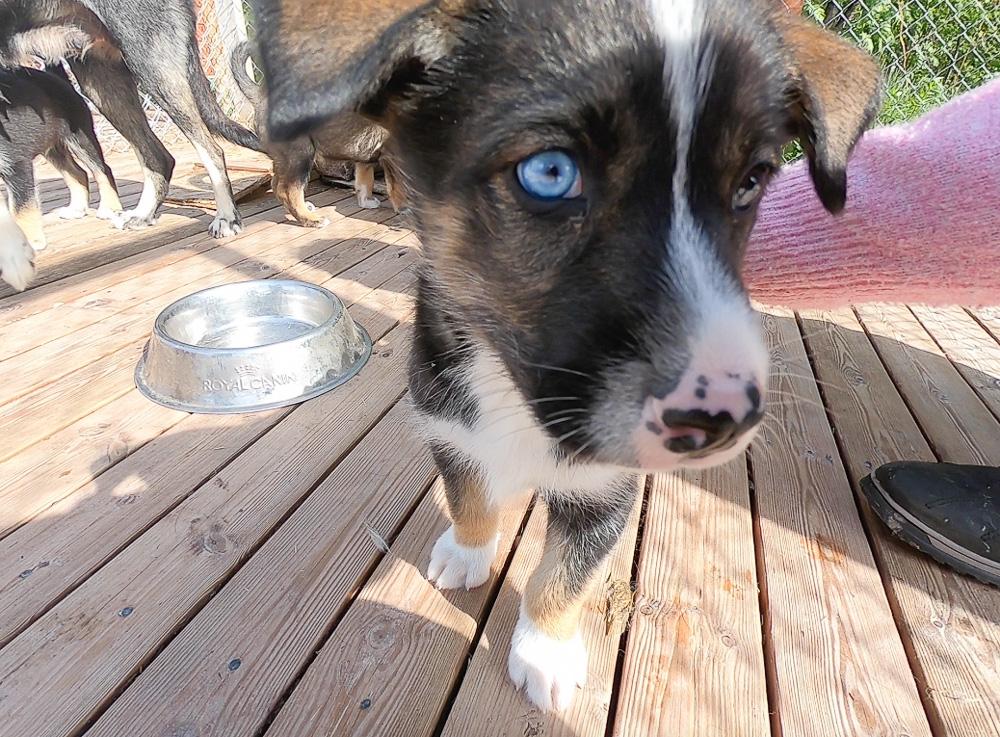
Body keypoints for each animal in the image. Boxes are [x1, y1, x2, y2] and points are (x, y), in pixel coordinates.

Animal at [0, 0, 262, 236]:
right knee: (158, 157)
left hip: (151, 65)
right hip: (101, 80)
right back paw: (143, 214)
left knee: (211, 150)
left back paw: (226, 217)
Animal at [250, 0, 884, 712]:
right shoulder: (449, 424)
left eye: (751, 183)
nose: (724, 422)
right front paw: (468, 553)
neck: (514, 401)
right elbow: (470, 496)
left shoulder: (604, 491)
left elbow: (561, 577)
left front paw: (544, 654)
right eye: (549, 173)